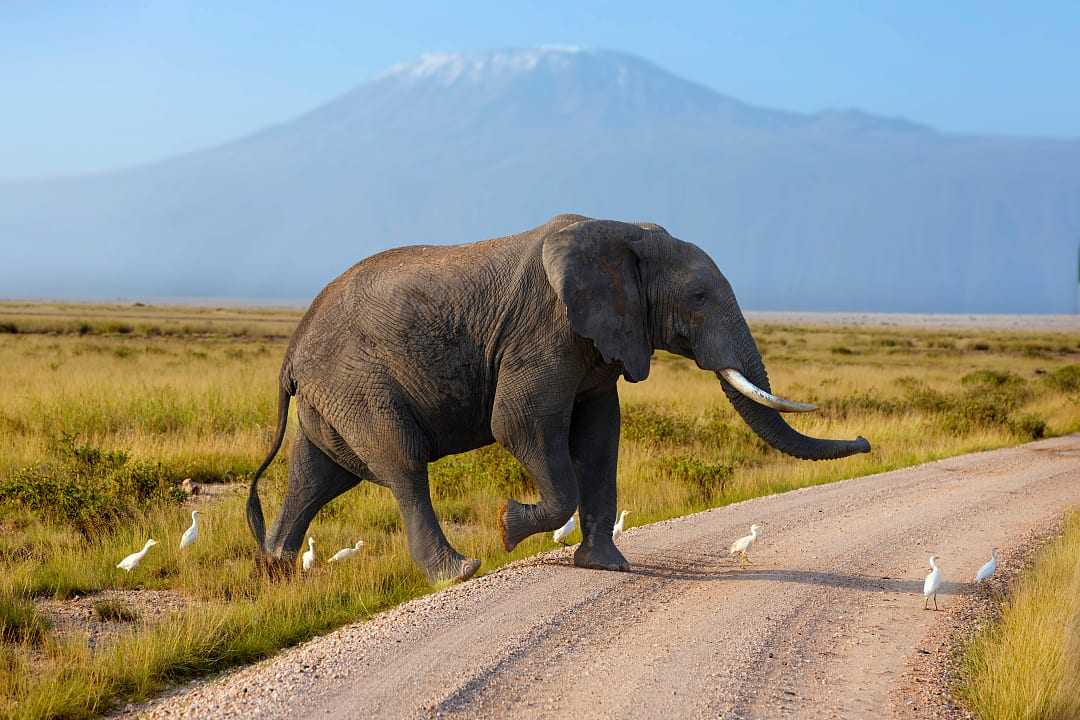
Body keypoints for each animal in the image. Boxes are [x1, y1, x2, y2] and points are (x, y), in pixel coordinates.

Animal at [247, 213, 868, 587]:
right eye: (697, 296)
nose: (864, 442)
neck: (625, 231)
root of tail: (292, 350)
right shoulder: (544, 330)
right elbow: (520, 423)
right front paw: (509, 526)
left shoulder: (598, 345)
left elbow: (599, 437)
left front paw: (607, 566)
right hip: (357, 380)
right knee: (401, 463)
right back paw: (459, 571)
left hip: (332, 396)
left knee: (318, 474)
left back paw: (277, 569)